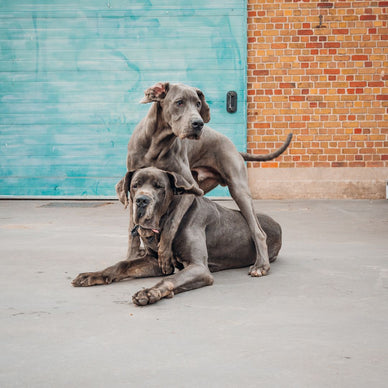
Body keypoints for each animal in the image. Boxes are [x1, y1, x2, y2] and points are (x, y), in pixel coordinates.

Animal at [72, 167, 282, 306]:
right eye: (135, 185)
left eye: (159, 186)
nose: (141, 200)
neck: (164, 221)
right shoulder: (154, 262)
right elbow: (122, 265)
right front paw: (94, 275)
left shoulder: (199, 267)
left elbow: (171, 279)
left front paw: (150, 292)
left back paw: (260, 266)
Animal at [116, 82, 292, 278]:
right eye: (179, 102)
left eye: (198, 104)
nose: (198, 123)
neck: (157, 143)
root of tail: (234, 148)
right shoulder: (133, 190)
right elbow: (132, 233)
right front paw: (132, 257)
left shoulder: (187, 189)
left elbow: (172, 223)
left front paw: (164, 253)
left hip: (237, 190)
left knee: (258, 230)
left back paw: (261, 265)